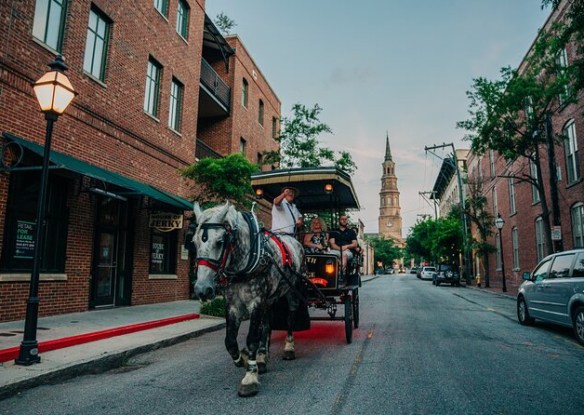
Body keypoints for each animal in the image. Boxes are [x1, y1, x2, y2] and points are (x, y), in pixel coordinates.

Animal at [192, 203, 306, 398]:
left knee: (290, 319)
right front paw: (244, 359)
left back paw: (288, 348)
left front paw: (250, 377)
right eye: (194, 242)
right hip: (270, 297)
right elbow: (230, 340)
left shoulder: (256, 301)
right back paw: (261, 356)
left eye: (220, 242)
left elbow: (252, 338)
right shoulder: (232, 304)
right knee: (267, 323)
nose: (202, 289)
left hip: (292, 290)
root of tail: (293, 240)